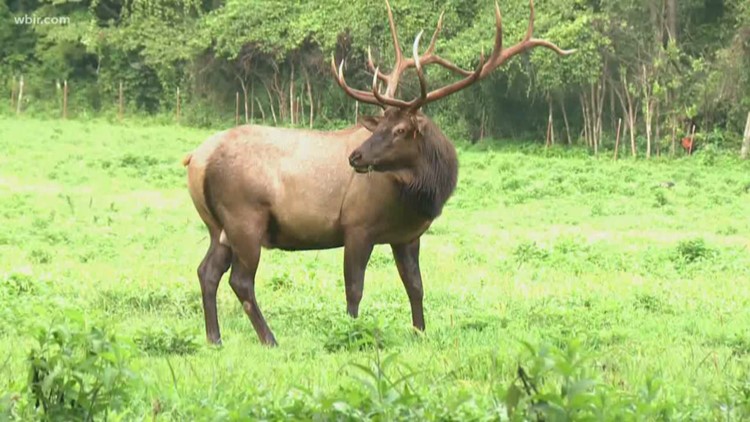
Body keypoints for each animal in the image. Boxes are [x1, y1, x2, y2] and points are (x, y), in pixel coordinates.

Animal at [183, 0, 574, 346]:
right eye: (379, 125)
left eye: (399, 129)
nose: (355, 156)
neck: (419, 196)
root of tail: (196, 158)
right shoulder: (357, 225)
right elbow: (354, 289)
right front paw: (351, 333)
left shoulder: (408, 235)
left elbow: (415, 286)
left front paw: (420, 333)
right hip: (245, 216)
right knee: (241, 280)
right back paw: (269, 339)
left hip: (218, 226)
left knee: (207, 271)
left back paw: (214, 338)